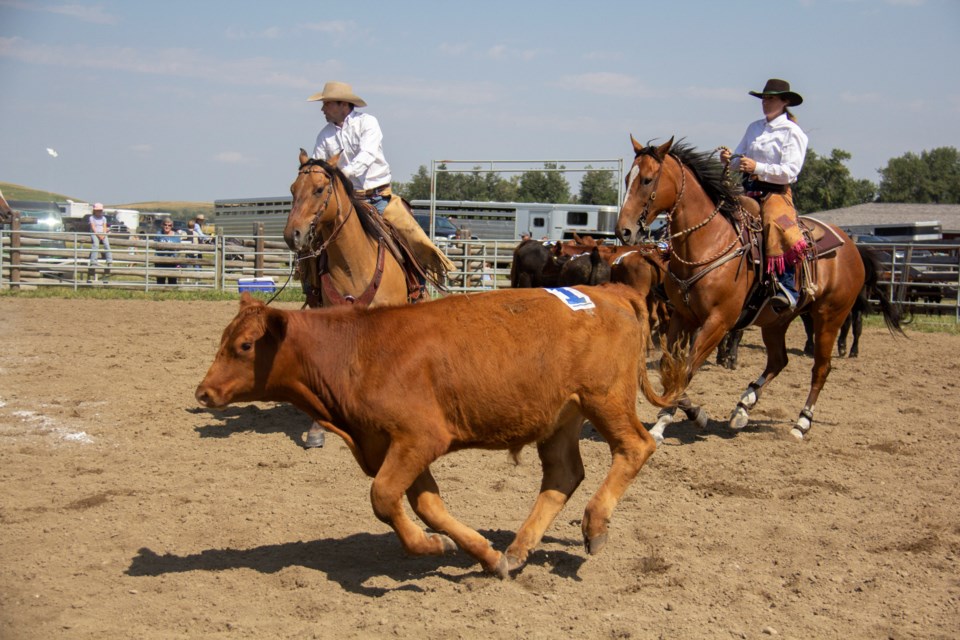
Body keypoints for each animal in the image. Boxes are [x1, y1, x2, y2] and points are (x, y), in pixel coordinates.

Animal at [195, 288, 684, 576]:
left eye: (244, 346)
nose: (203, 392)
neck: (356, 350)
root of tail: (608, 291)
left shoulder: (418, 438)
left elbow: (383, 497)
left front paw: (428, 547)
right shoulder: (393, 446)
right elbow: (427, 505)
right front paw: (482, 554)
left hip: (605, 398)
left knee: (636, 446)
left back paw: (595, 525)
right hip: (561, 417)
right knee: (563, 476)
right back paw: (516, 550)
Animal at [620, 137, 868, 442]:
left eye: (647, 180)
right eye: (628, 178)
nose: (624, 231)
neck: (709, 242)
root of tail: (852, 245)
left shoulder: (719, 322)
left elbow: (686, 369)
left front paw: (690, 415)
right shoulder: (682, 316)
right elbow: (671, 368)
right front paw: (665, 421)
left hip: (829, 317)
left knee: (821, 368)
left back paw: (801, 423)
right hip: (776, 321)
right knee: (778, 361)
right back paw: (742, 408)